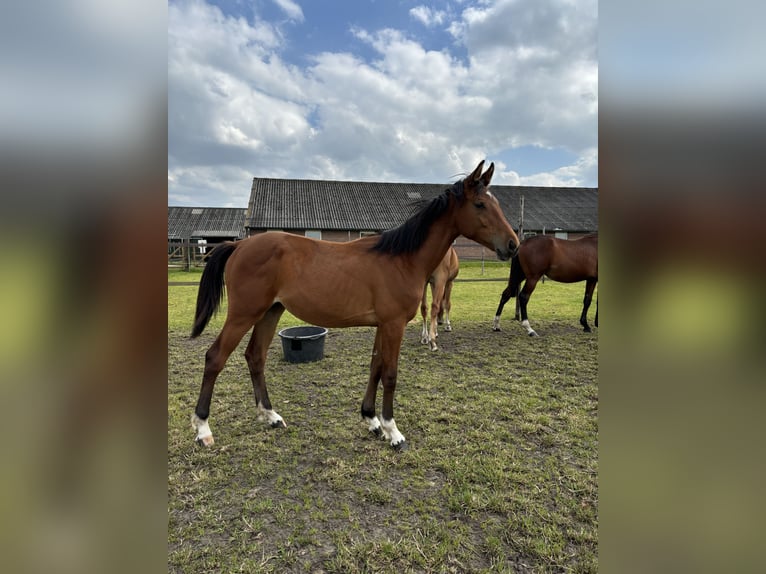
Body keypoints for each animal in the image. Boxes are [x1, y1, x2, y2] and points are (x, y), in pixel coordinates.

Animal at [190, 160, 520, 452]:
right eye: (480, 204)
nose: (513, 244)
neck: (402, 258)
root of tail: (240, 244)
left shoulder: (382, 325)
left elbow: (375, 367)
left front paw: (372, 420)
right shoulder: (394, 325)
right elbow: (390, 373)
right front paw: (393, 431)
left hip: (270, 312)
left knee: (255, 357)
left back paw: (270, 416)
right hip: (243, 314)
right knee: (215, 357)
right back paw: (203, 429)